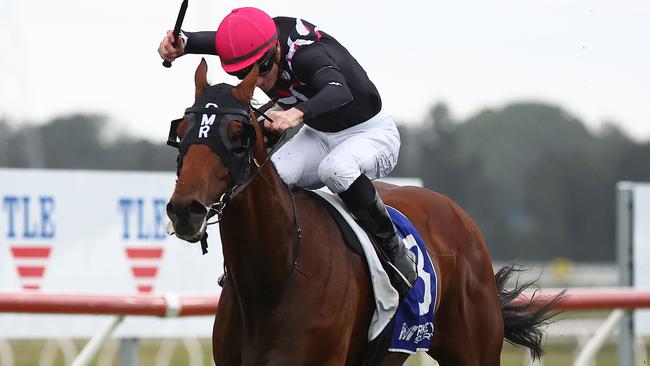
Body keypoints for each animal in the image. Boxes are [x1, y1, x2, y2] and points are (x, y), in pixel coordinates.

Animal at [165, 58, 560, 364]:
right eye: (182, 130)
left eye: (237, 134)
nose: (185, 209)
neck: (275, 276)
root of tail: (458, 213)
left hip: (474, 348)